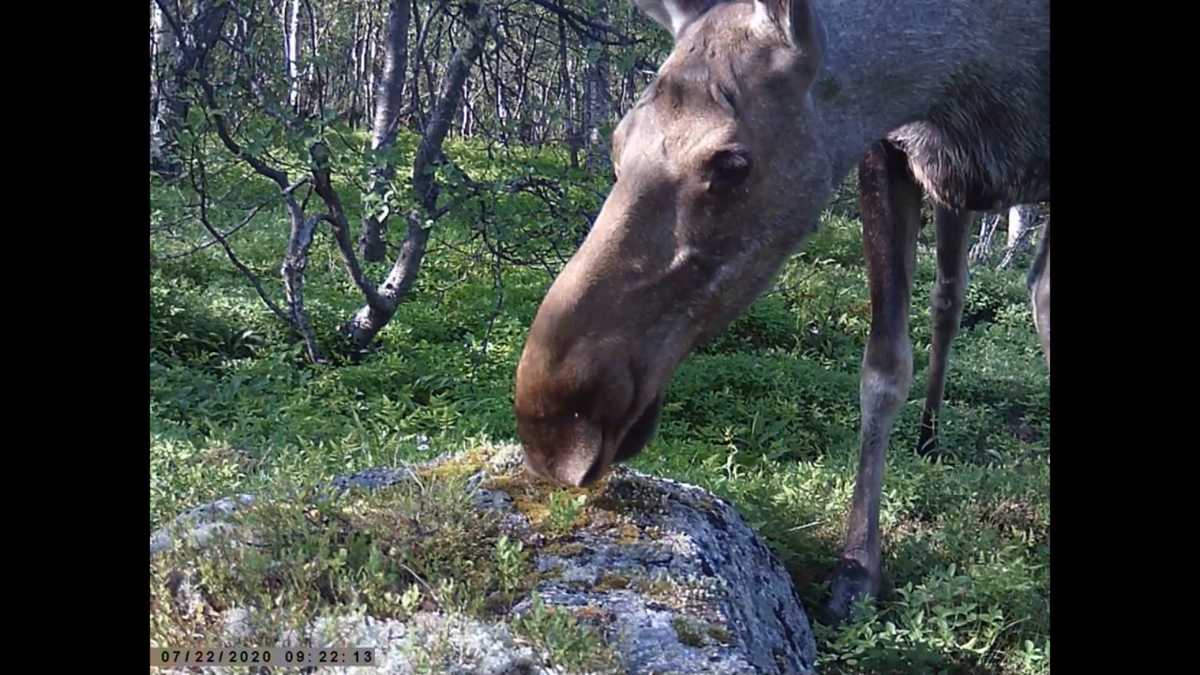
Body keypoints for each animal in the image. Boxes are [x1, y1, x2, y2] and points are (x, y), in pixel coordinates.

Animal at [516, 0, 1051, 619]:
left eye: (732, 163)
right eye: (617, 142)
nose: (555, 425)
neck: (980, 73)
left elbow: (1041, 301)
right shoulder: (886, 151)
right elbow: (884, 367)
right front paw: (856, 568)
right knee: (948, 297)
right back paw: (929, 438)